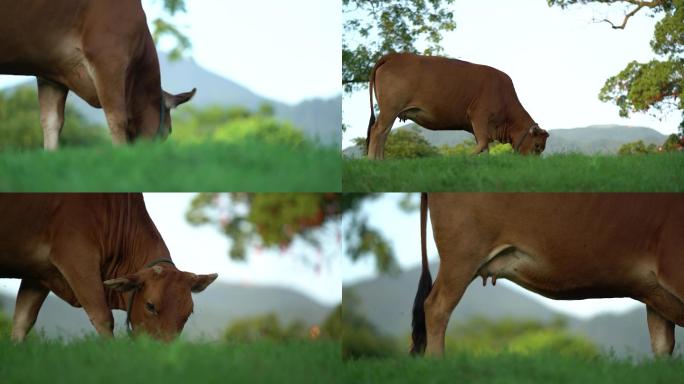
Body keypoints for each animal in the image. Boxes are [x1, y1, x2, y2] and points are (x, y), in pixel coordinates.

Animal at [0, 195, 218, 342]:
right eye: (150, 306)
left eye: (188, 313)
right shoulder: (77, 258)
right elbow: (104, 318)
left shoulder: (38, 273)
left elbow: (22, 321)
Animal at [366, 53, 548, 159]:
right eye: (537, 146)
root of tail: (395, 55)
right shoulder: (479, 116)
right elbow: (483, 142)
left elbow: (485, 146)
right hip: (390, 109)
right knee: (377, 131)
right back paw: (372, 161)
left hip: (391, 112)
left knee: (383, 134)